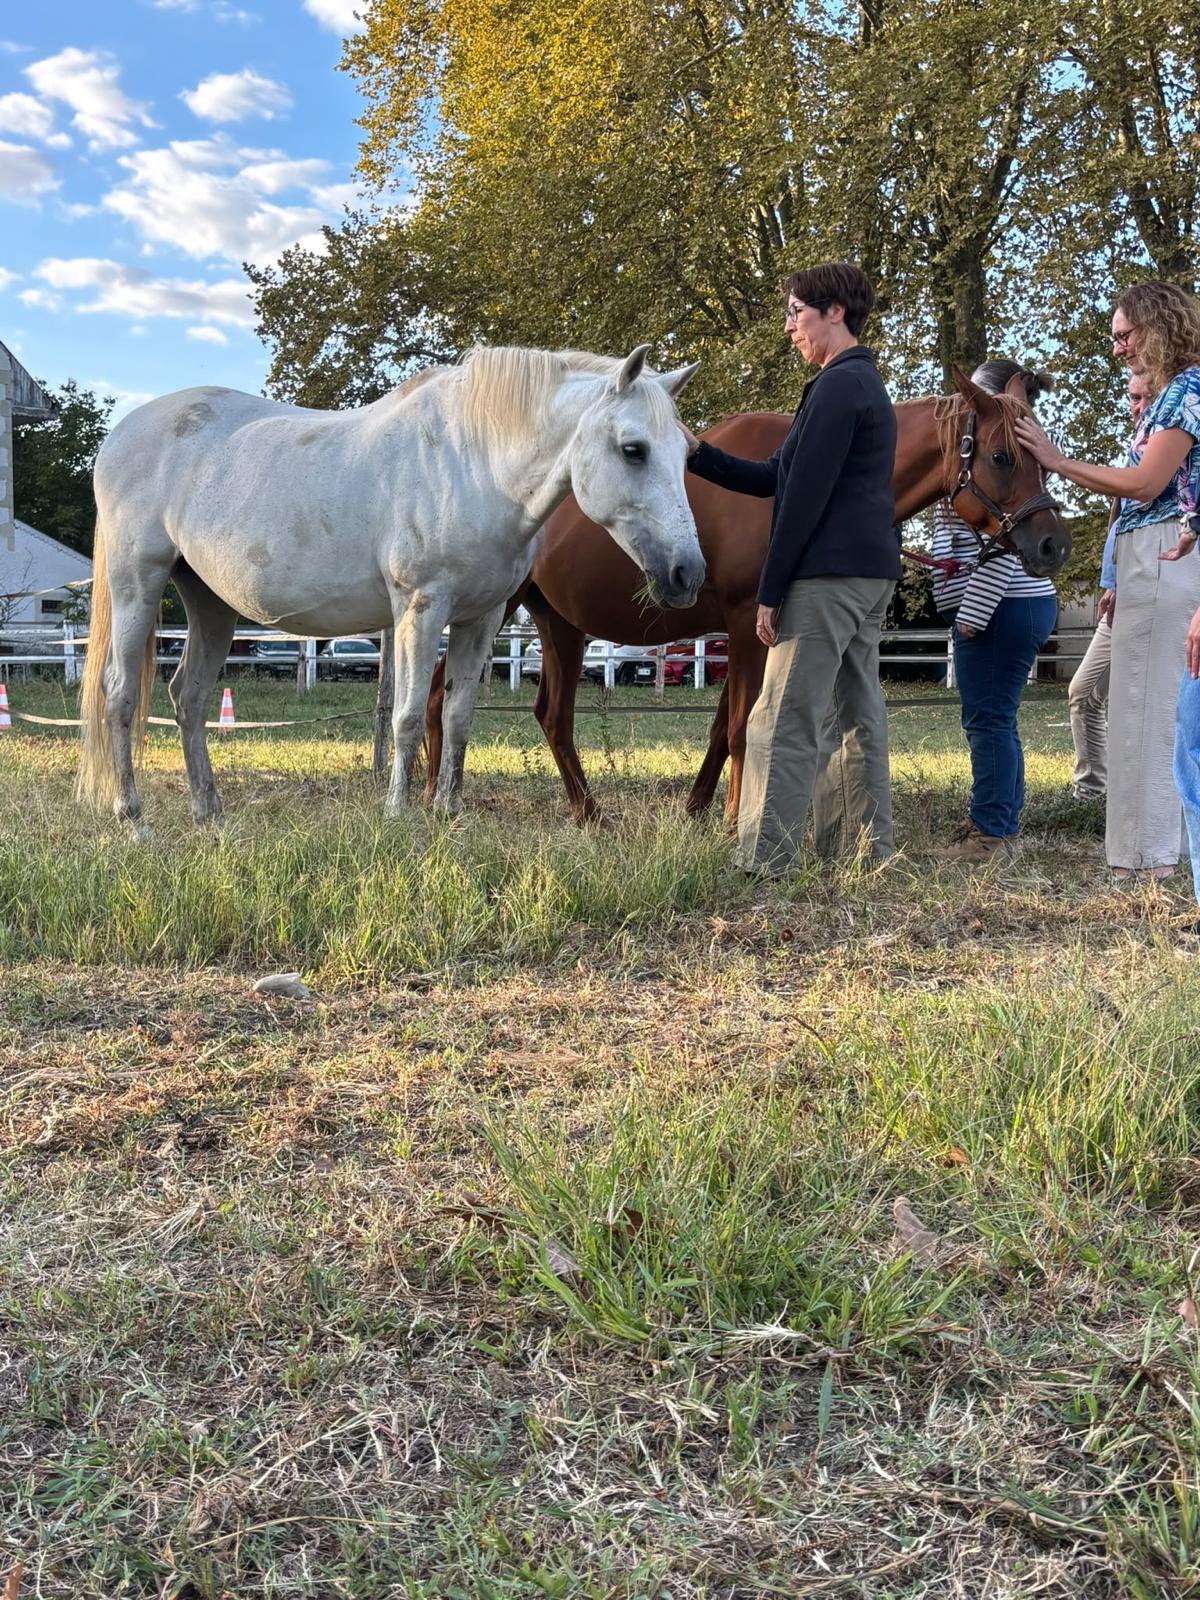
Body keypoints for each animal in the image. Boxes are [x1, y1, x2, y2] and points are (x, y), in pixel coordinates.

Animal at [75, 344, 705, 835]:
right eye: (633, 449)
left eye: (687, 452)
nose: (687, 574)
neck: (471, 463)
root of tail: (120, 436)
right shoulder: (420, 609)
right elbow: (406, 715)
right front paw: (400, 815)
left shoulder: (480, 618)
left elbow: (457, 716)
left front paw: (449, 813)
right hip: (137, 584)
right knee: (120, 694)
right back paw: (132, 817)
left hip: (209, 602)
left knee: (189, 697)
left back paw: (209, 813)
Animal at [423, 367, 1071, 823]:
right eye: (1001, 456)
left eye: (1040, 459)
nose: (1051, 545)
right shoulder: (745, 626)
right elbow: (740, 728)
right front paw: (736, 818)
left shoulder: (749, 631)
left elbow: (723, 730)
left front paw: (698, 810)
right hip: (494, 612)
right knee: (445, 699)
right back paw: (440, 796)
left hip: (558, 624)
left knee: (543, 716)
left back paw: (577, 811)